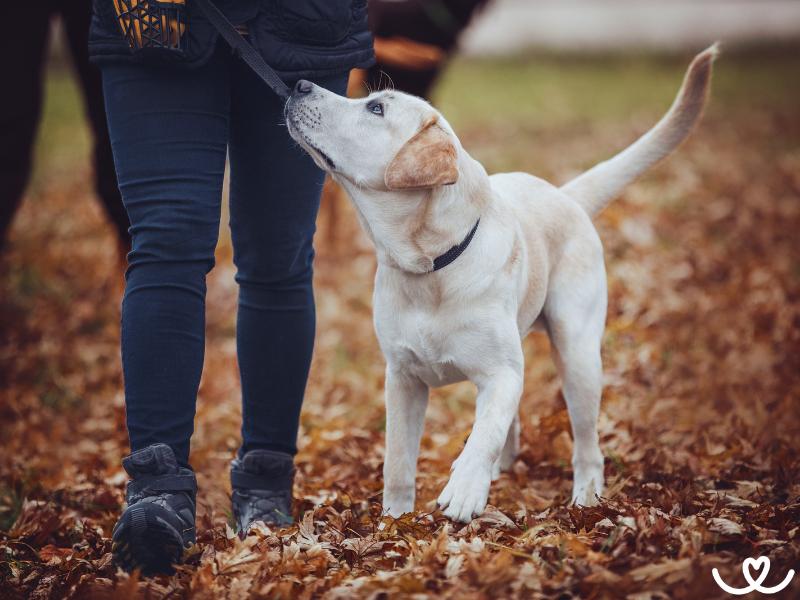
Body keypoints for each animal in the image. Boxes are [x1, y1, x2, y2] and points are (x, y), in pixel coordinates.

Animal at [288, 45, 720, 520]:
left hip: (578, 353)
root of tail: (565, 195)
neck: (431, 268)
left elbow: (484, 433)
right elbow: (398, 461)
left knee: (586, 444)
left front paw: (463, 489)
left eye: (376, 108)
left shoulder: (500, 373)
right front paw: (395, 519)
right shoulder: (402, 378)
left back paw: (586, 498)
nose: (299, 84)